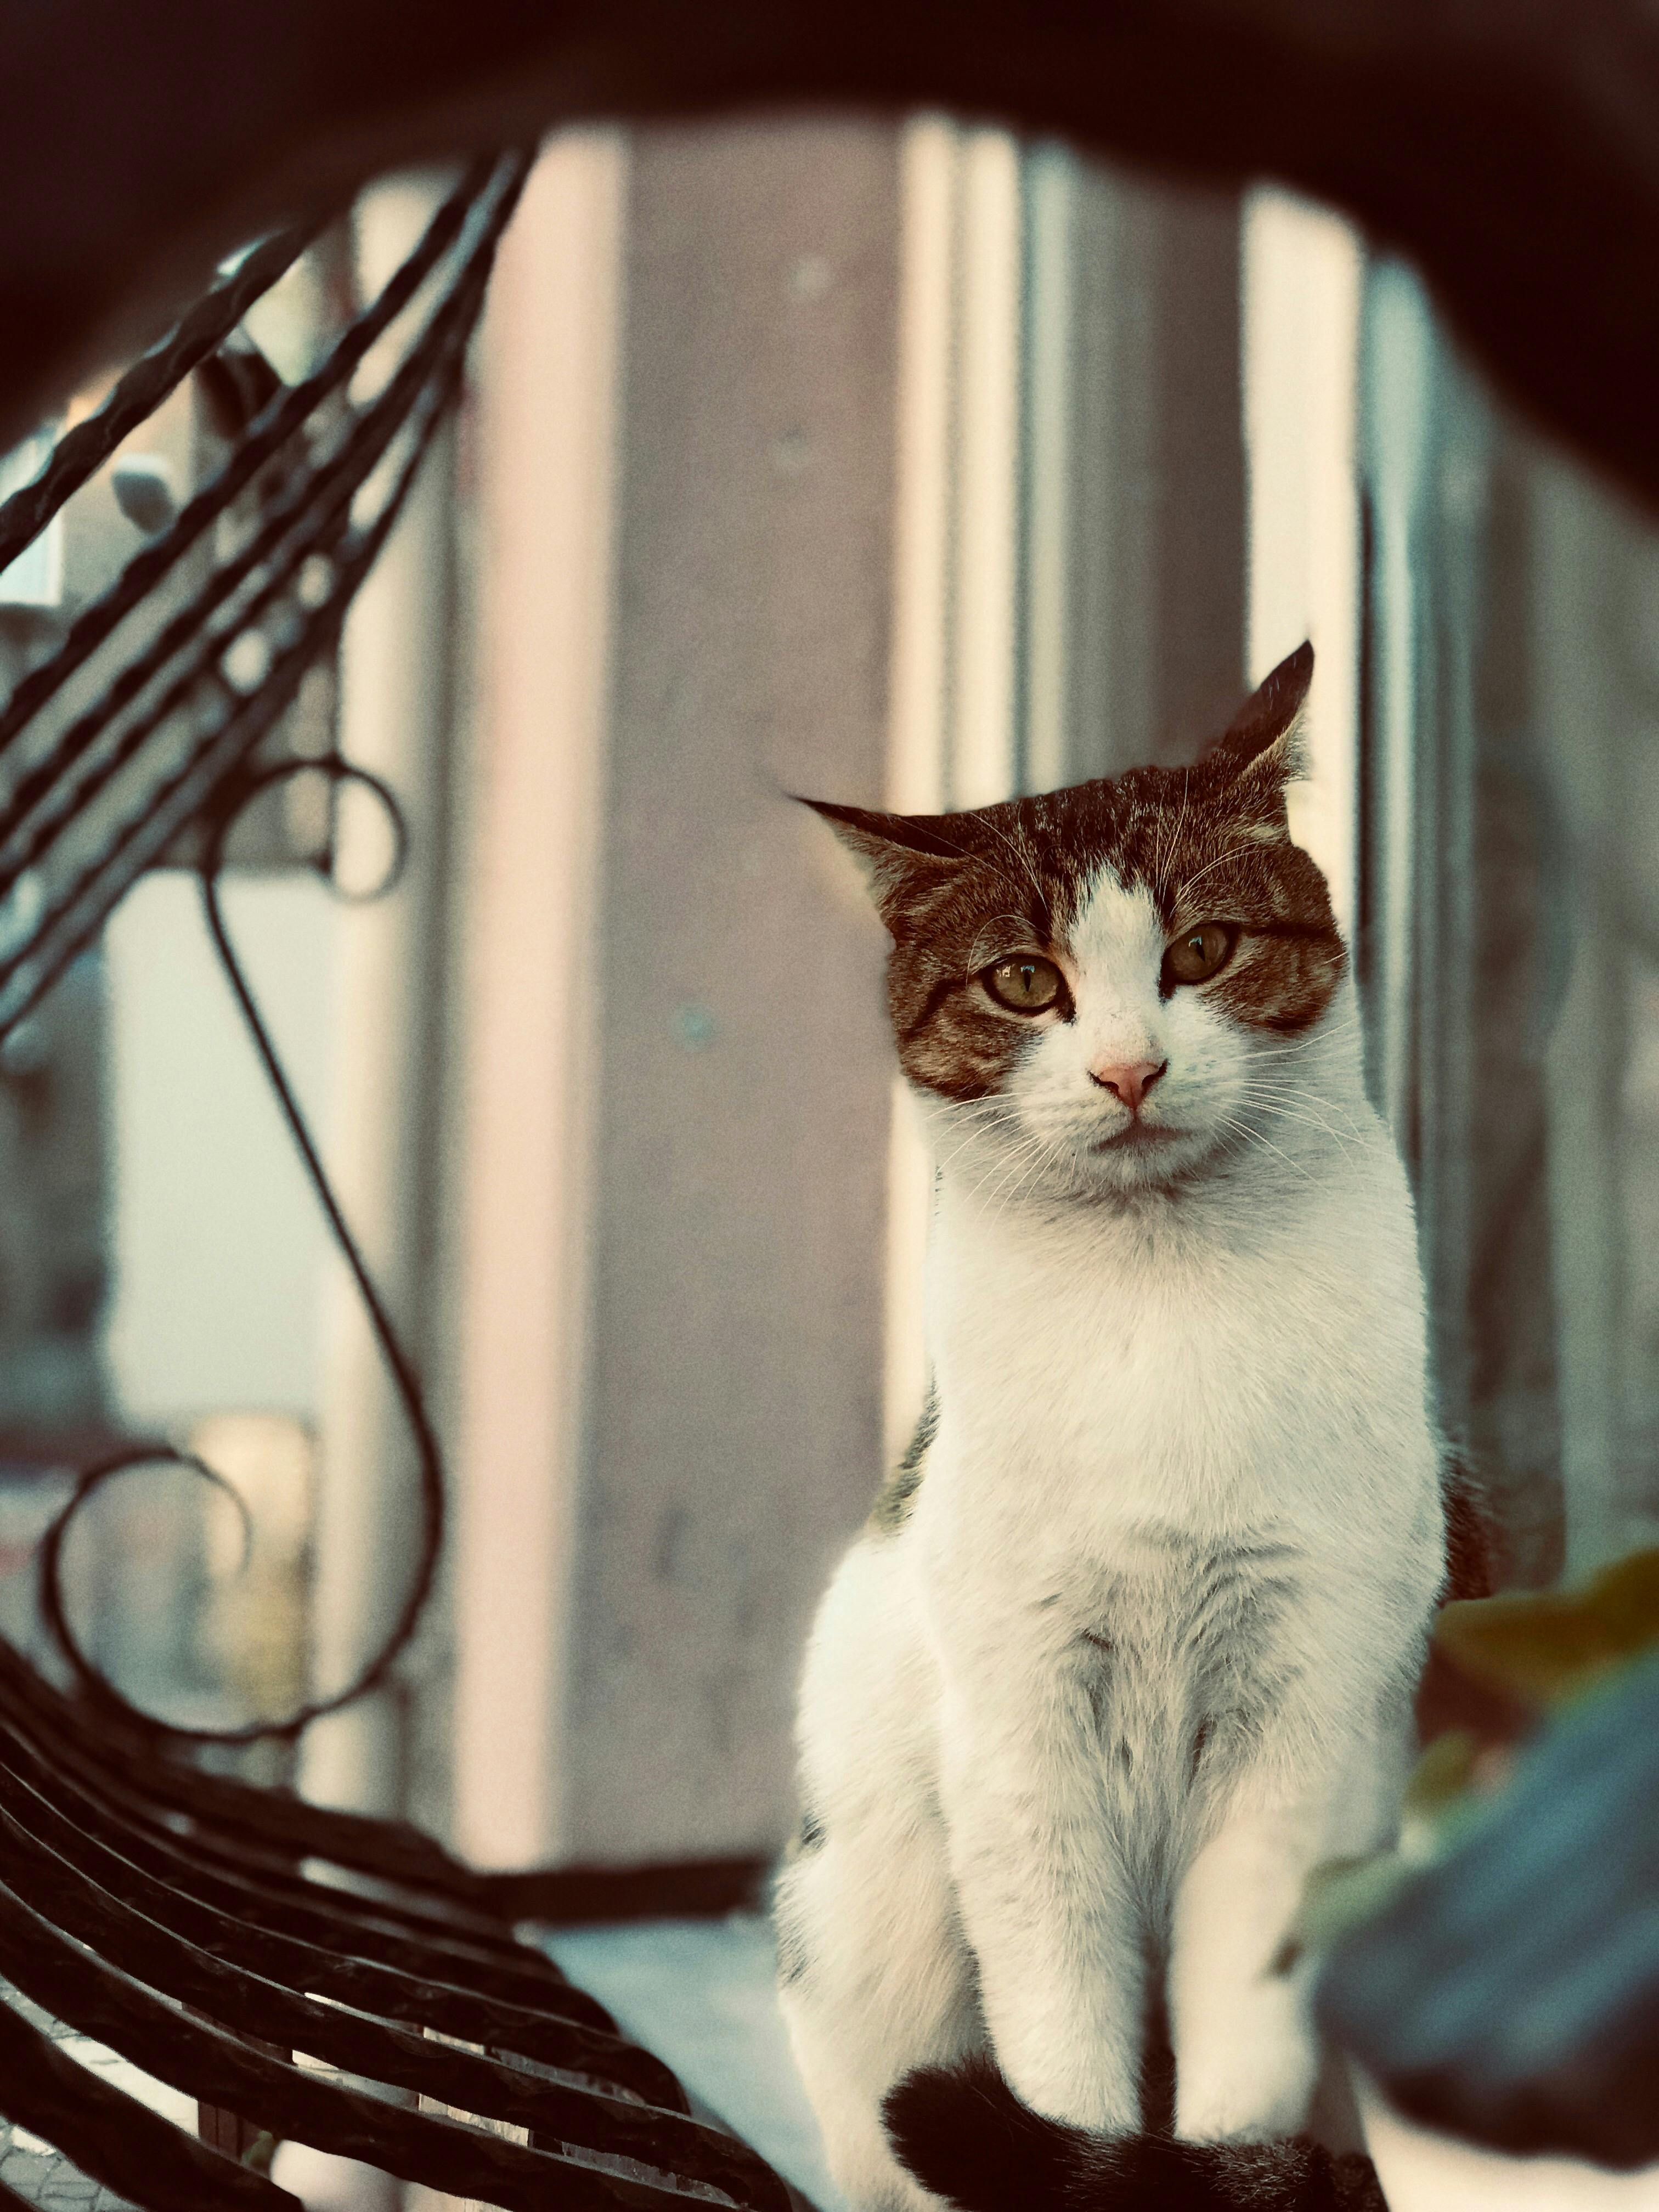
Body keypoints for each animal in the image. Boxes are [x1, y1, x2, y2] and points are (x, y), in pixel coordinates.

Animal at [778, 646, 1442, 2203]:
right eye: (1025, 982)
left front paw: (1214, 2160)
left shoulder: (1300, 1712)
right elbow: (1058, 2031)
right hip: (866, 1914)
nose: (1131, 1071)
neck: (1160, 1297)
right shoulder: (1021, 1728)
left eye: (1203, 951)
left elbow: (1236, 2047)